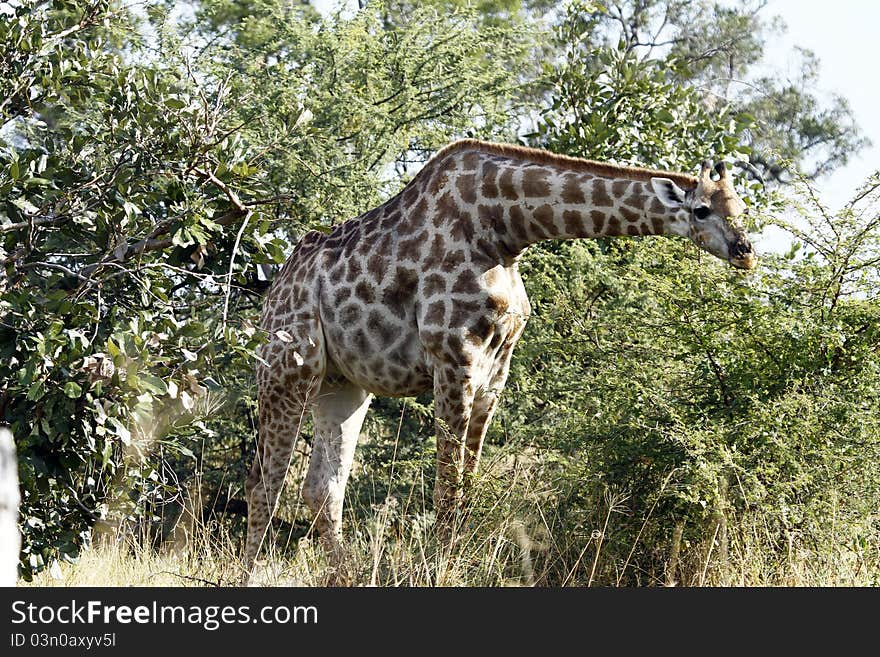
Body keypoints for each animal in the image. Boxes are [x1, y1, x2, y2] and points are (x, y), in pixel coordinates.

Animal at [242, 138, 756, 576]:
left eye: (743, 207)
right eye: (701, 209)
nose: (746, 251)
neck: (504, 228)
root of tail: (272, 293)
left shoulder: (496, 367)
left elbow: (467, 481)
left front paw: (452, 559)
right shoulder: (453, 357)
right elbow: (448, 484)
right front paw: (440, 567)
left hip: (342, 384)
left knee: (321, 488)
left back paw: (344, 574)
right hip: (287, 367)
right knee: (264, 483)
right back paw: (248, 574)